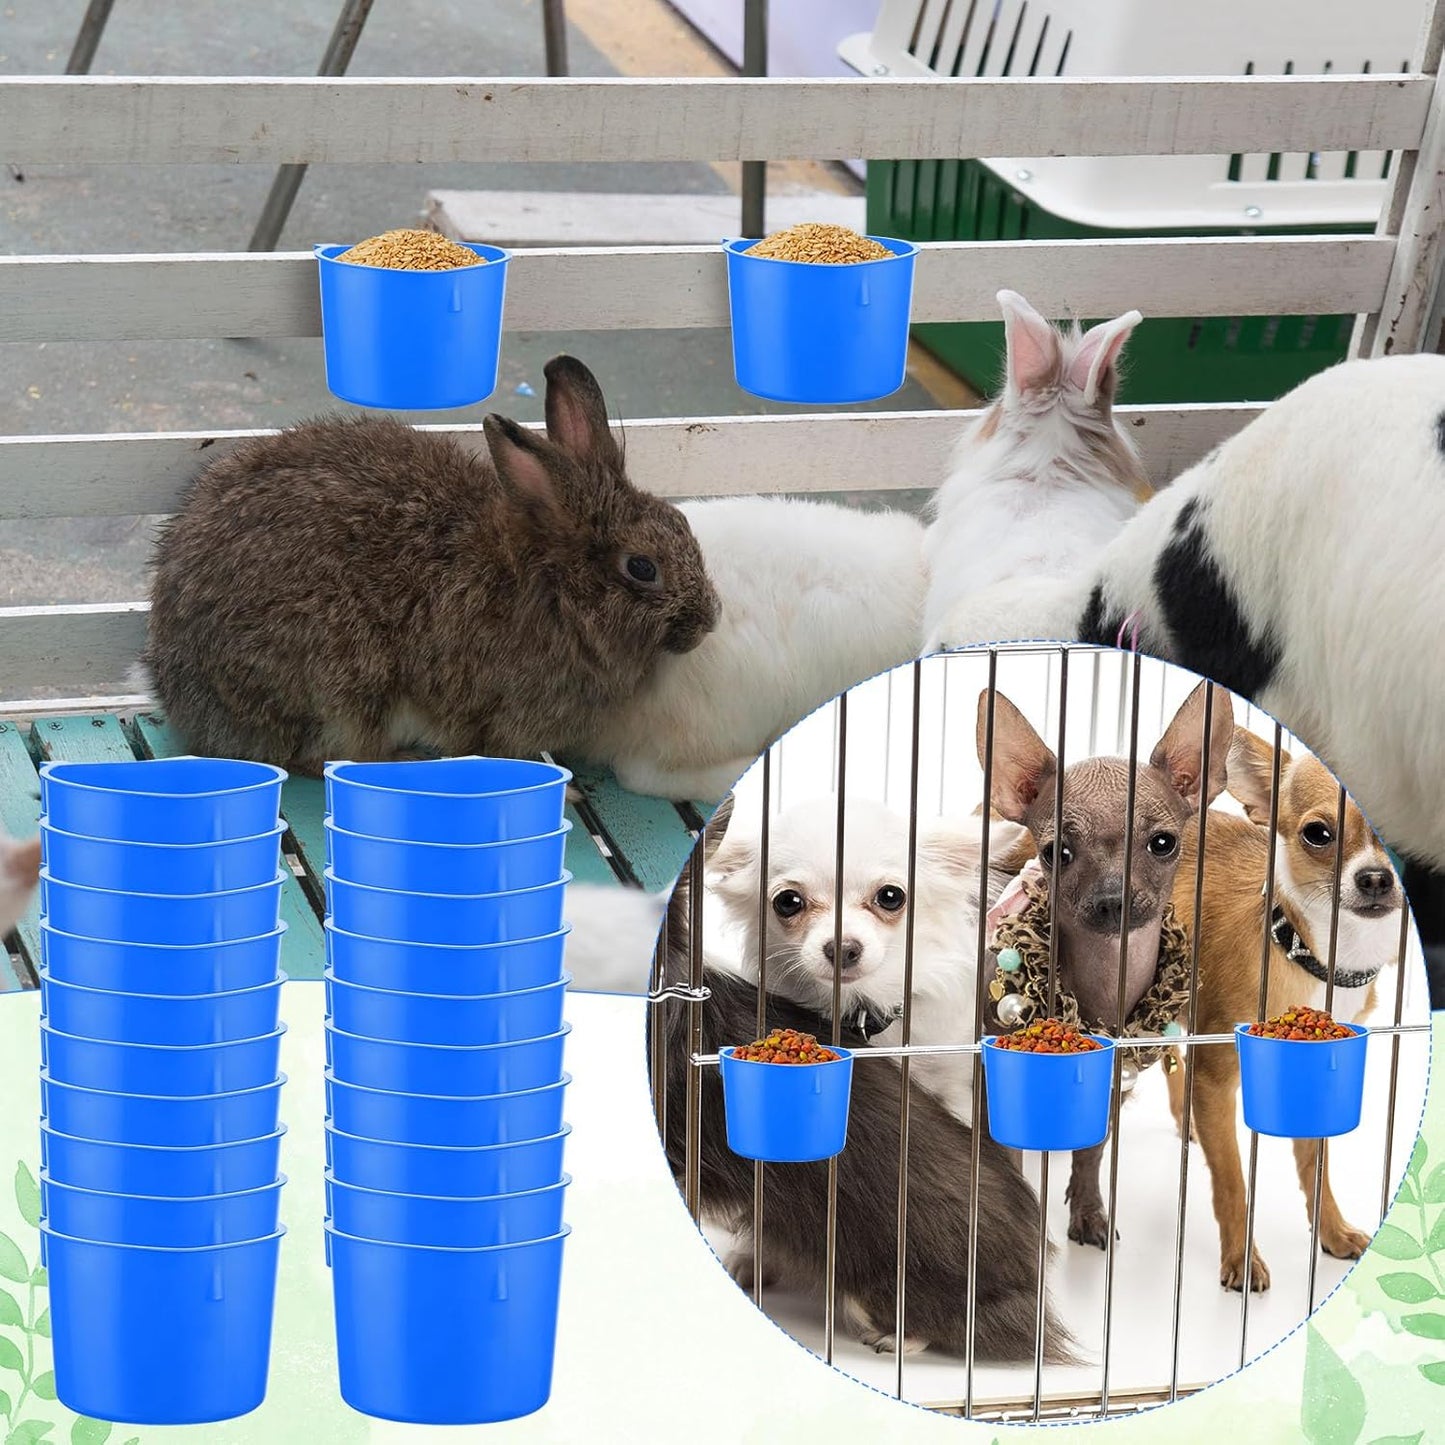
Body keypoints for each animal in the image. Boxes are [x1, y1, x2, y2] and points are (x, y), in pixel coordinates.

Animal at [144, 356, 720, 774]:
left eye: (681, 523)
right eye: (642, 568)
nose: (707, 624)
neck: (557, 587)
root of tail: (177, 687)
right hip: (340, 685)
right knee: (317, 756)